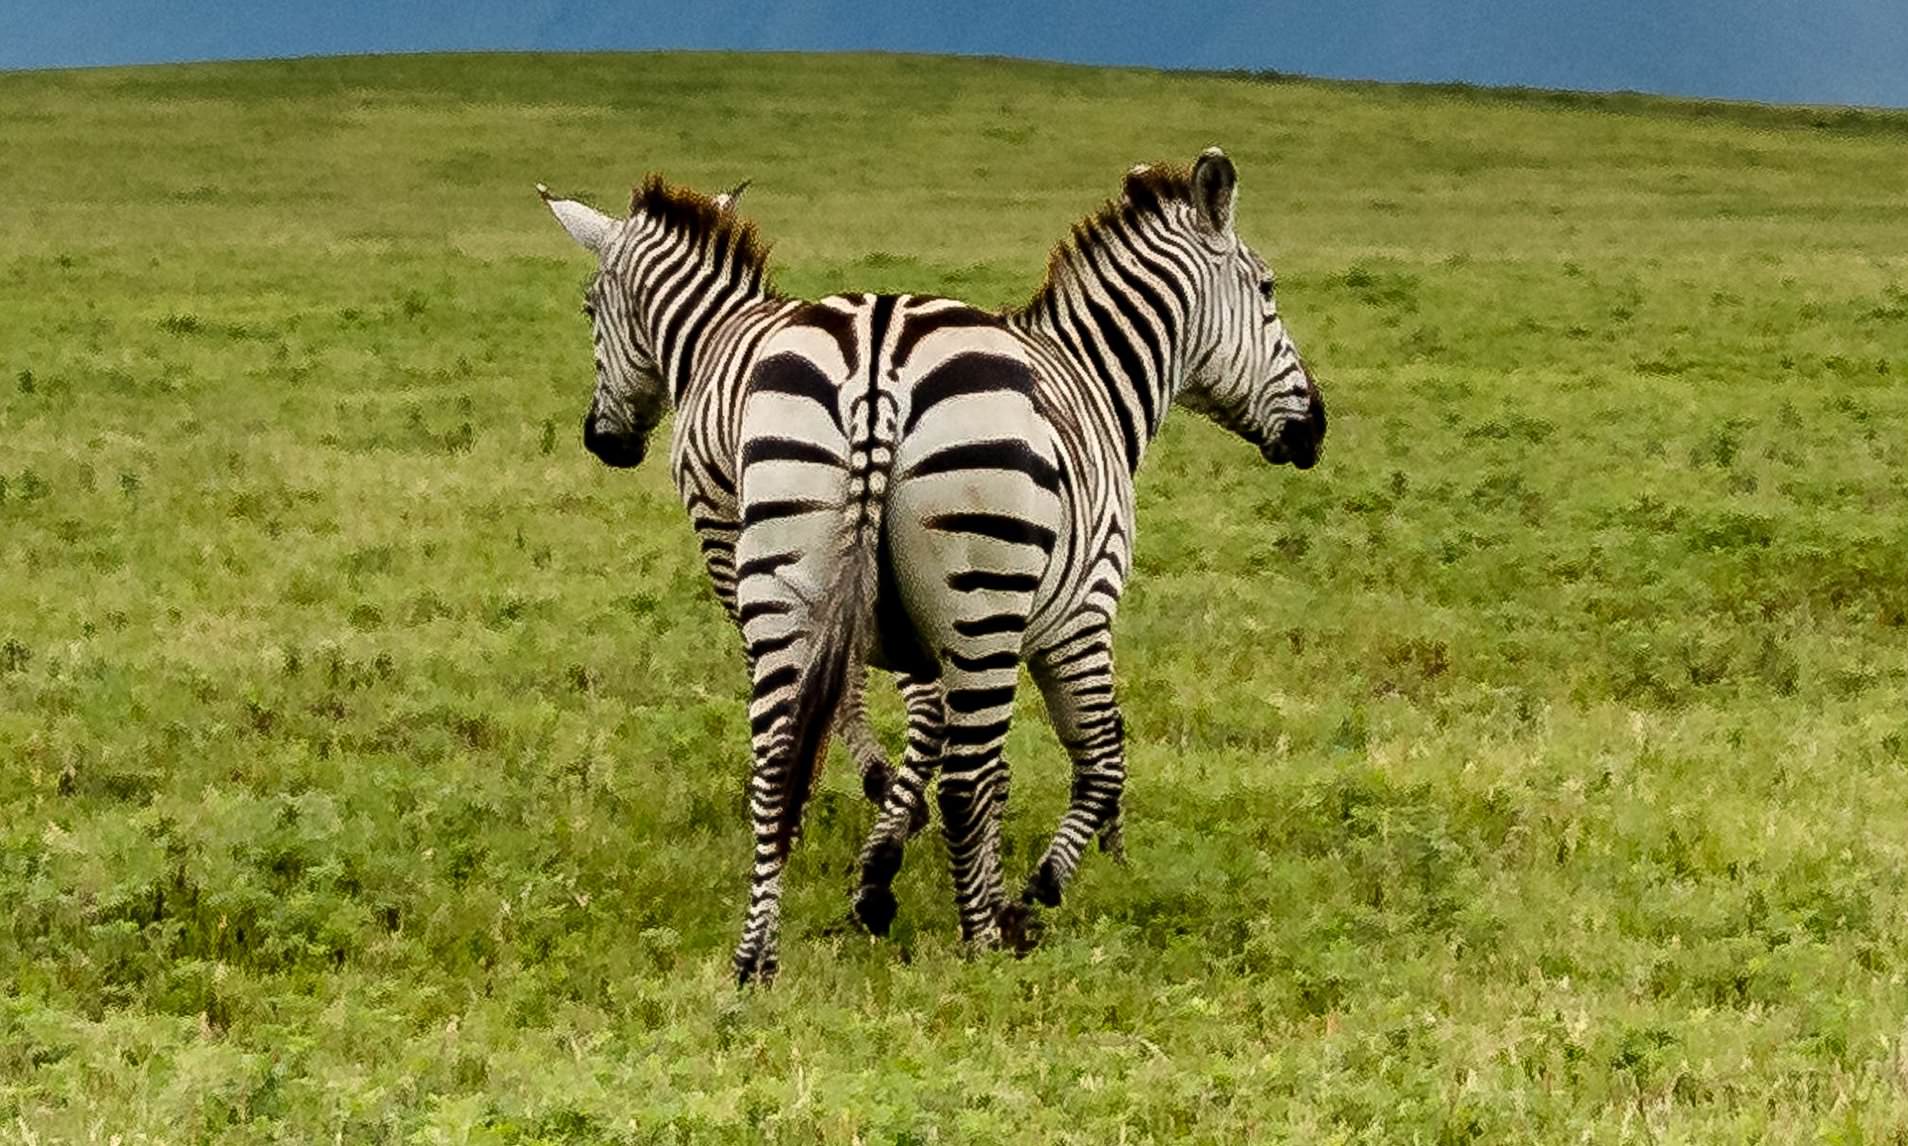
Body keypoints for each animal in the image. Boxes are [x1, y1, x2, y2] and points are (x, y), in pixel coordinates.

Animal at [721, 147, 1320, 976]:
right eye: (1267, 290)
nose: (1316, 428)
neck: (1097, 385)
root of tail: (879, 347)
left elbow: (977, 768)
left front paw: (879, 883)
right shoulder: (1079, 617)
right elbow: (1097, 757)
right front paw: (1032, 891)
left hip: (787, 583)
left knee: (777, 770)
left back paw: (757, 960)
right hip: (985, 596)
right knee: (963, 784)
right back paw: (981, 946)